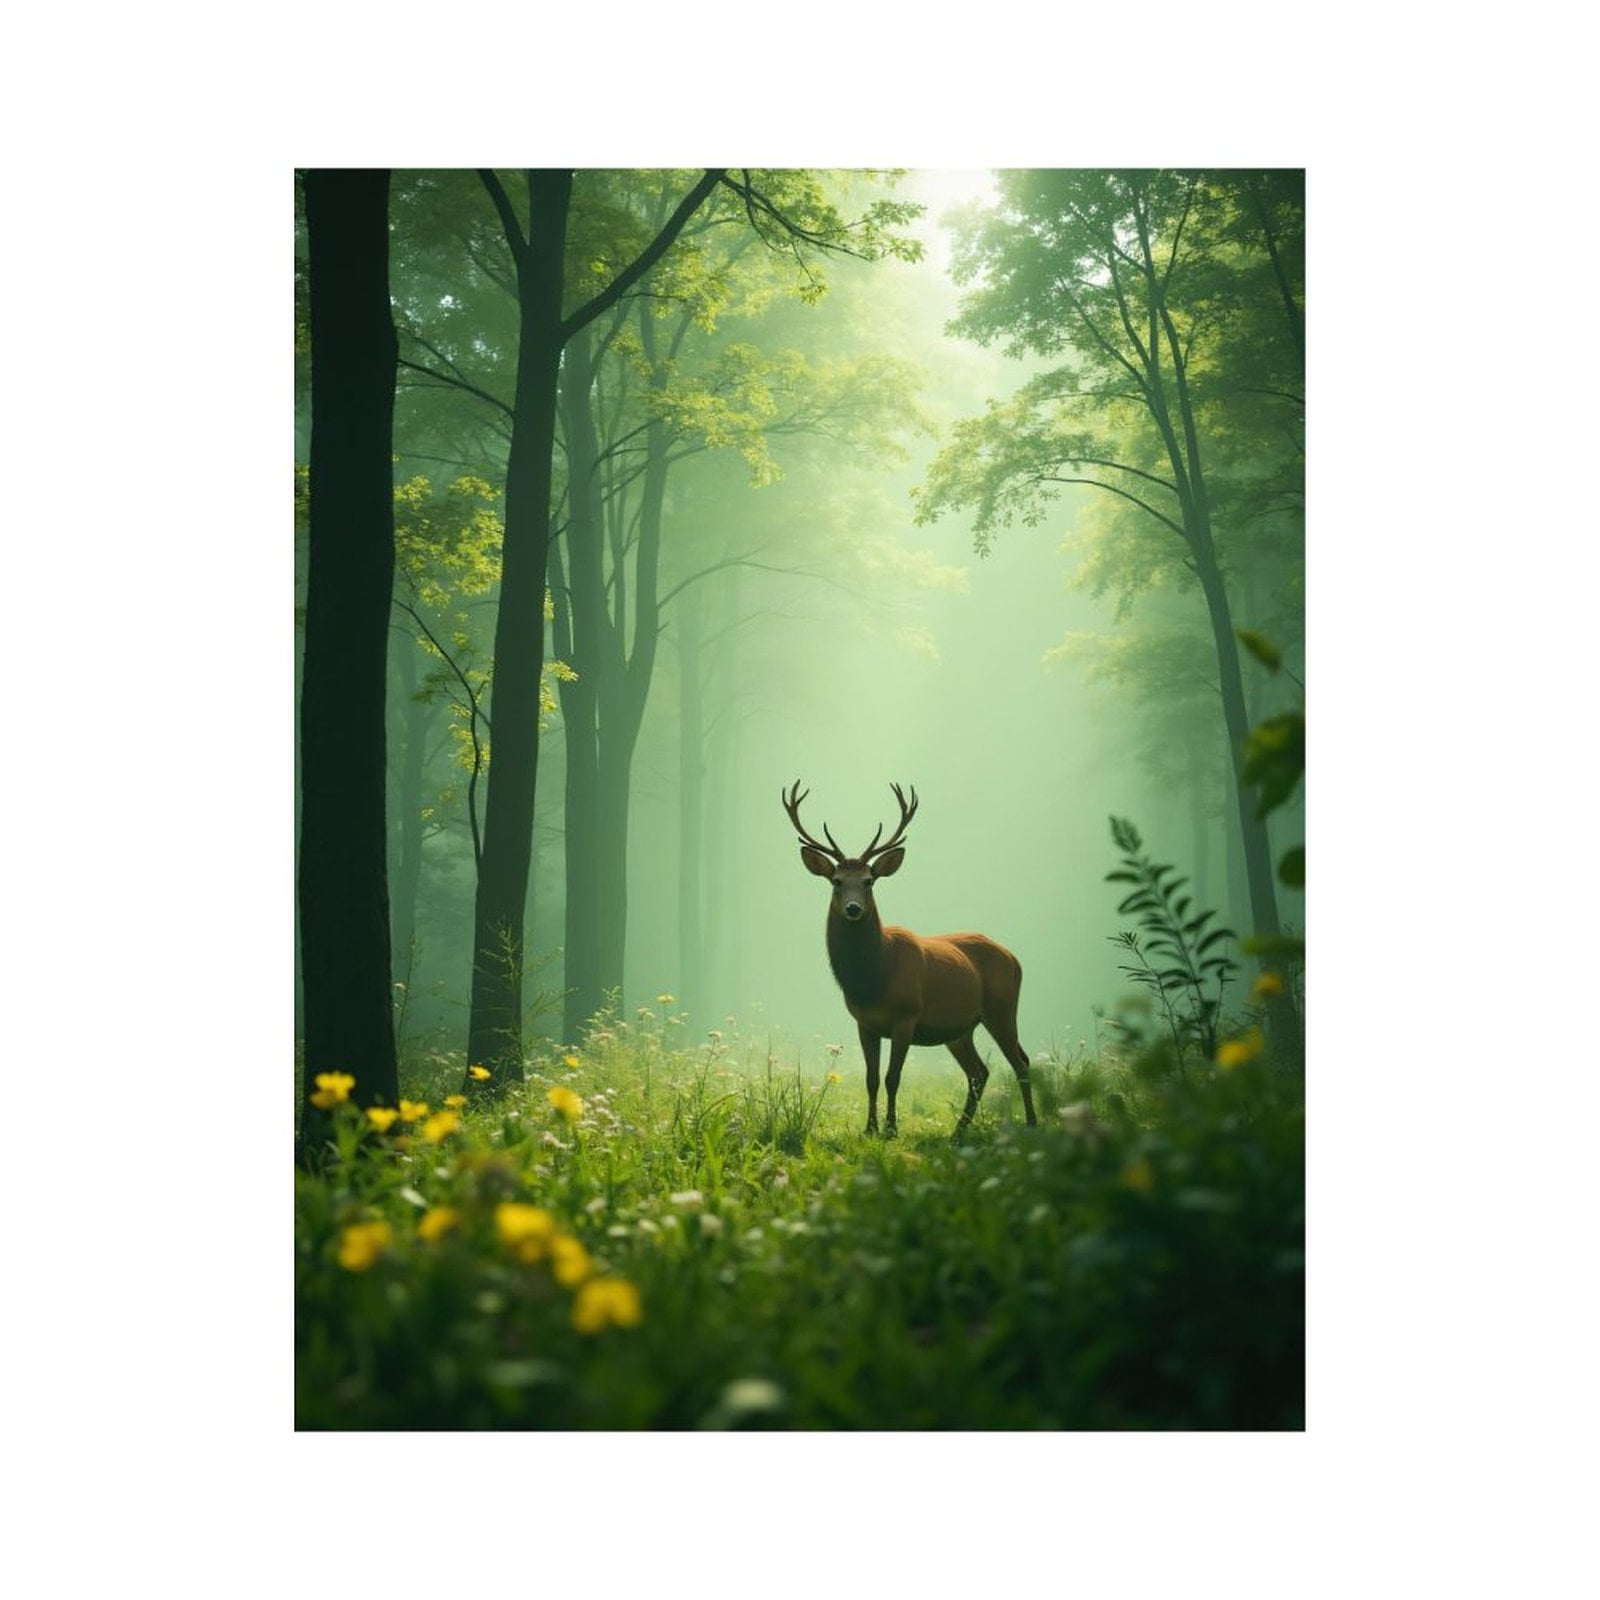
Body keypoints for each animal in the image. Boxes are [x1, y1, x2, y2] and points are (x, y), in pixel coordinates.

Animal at [782, 780, 1038, 1141]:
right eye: (836, 881)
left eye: (868, 881)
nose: (853, 909)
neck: (875, 978)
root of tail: (1013, 957)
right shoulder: (864, 1023)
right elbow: (871, 1078)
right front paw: (869, 1128)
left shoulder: (907, 1015)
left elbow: (893, 1077)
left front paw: (891, 1129)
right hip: (960, 1028)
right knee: (980, 1072)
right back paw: (958, 1133)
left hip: (1002, 1007)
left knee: (1021, 1062)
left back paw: (1031, 1123)